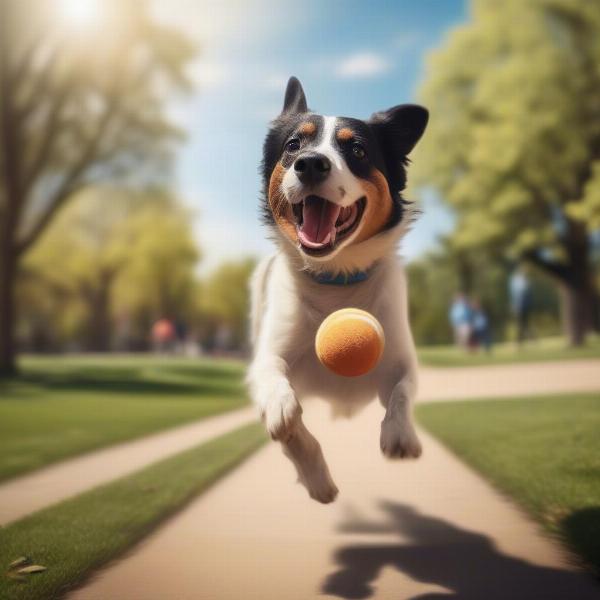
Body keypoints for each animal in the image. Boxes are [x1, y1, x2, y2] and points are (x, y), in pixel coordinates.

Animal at [246, 77, 428, 504]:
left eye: (357, 150)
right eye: (294, 144)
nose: (311, 162)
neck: (335, 278)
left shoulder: (400, 360)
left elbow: (401, 392)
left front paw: (401, 434)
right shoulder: (269, 358)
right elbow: (285, 415)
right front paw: (316, 477)